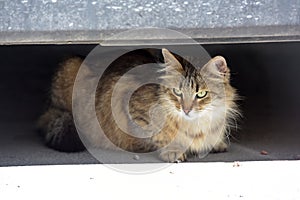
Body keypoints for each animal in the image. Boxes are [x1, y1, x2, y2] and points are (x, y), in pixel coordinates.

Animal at [37, 48, 240, 162]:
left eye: (201, 94)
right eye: (177, 92)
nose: (186, 109)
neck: (197, 125)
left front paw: (216, 143)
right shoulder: (132, 109)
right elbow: (159, 136)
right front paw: (173, 151)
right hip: (70, 67)